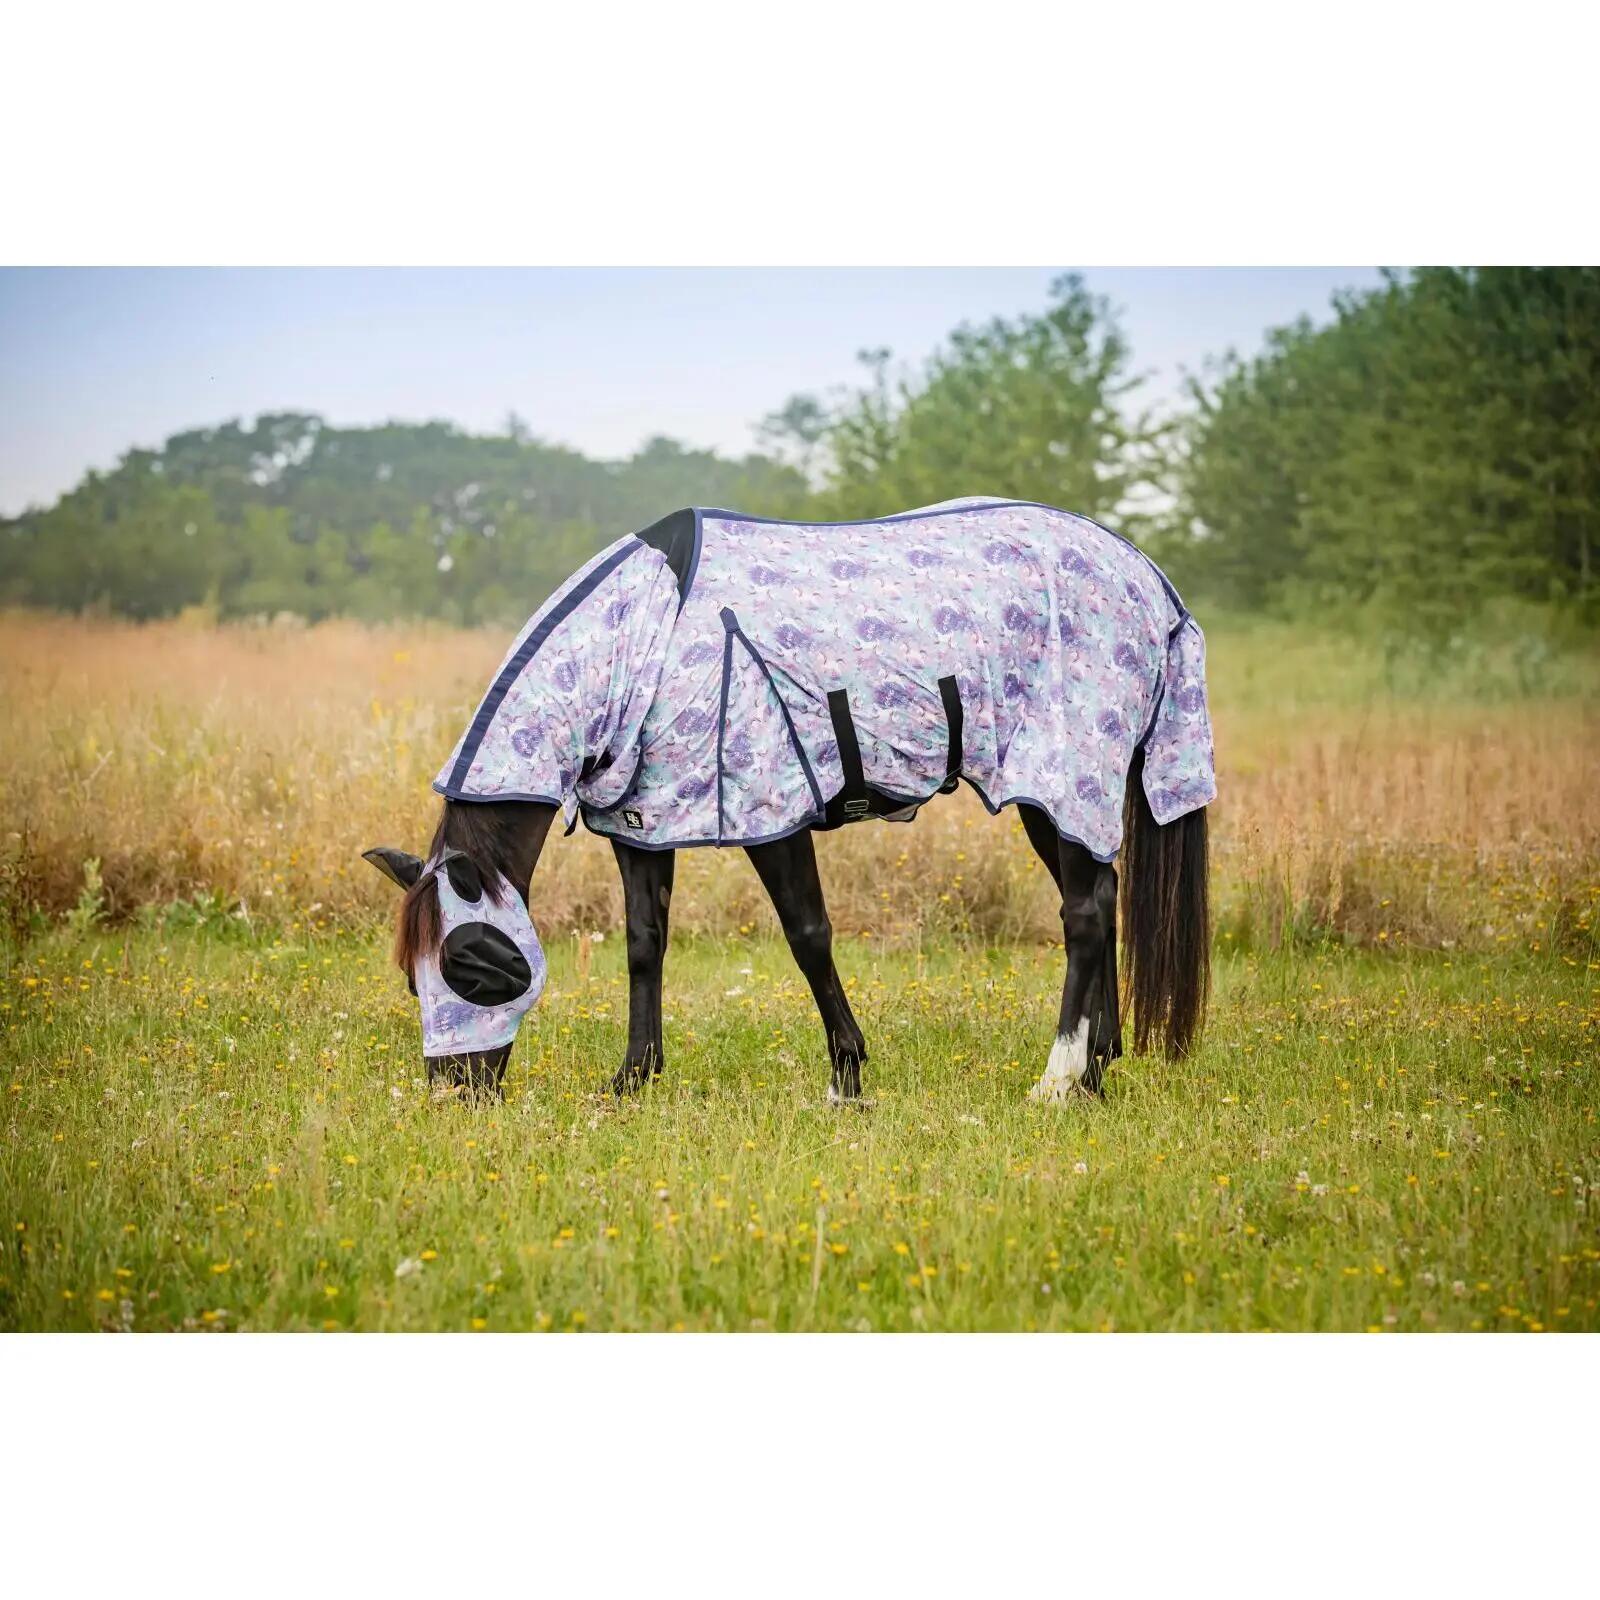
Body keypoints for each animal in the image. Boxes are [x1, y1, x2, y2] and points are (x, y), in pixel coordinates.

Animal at [363, 497, 1215, 1102]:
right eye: (411, 979)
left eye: (472, 966)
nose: (455, 1097)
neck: (649, 638)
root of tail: (1148, 577)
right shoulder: (642, 826)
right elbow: (644, 945)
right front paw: (632, 1080)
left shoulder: (771, 814)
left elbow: (809, 936)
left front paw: (847, 1077)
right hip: (1056, 796)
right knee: (1100, 897)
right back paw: (1098, 1069)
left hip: (1065, 773)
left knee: (1084, 914)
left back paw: (1058, 1080)